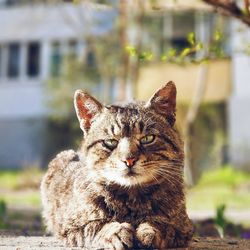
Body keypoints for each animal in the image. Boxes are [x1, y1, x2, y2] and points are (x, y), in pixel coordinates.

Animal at [40, 81, 193, 248]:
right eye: (110, 142)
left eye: (148, 138)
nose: (129, 160)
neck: (132, 198)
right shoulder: (71, 226)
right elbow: (96, 226)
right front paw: (116, 232)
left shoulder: (183, 227)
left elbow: (163, 225)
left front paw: (148, 232)